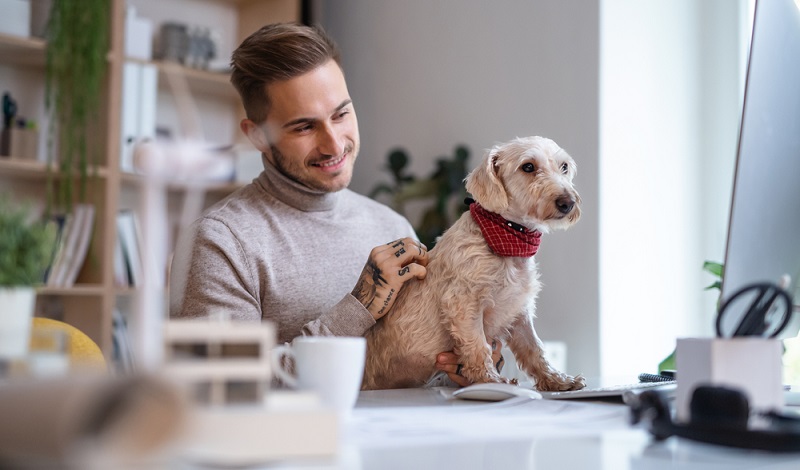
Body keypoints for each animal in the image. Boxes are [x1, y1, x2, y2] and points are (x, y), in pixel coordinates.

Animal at [364, 134, 588, 392]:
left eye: (564, 167)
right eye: (528, 167)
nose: (568, 203)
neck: (508, 239)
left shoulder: (519, 311)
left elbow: (535, 348)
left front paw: (557, 380)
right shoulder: (463, 303)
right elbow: (478, 346)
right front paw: (489, 380)